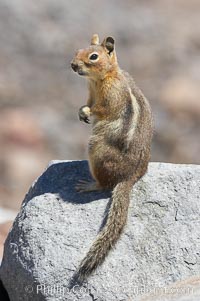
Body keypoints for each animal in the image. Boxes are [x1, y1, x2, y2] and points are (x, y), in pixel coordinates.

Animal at [70, 33, 153, 282]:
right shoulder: (89, 93)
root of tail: (130, 177)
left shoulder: (110, 98)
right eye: (77, 51)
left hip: (96, 149)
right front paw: (81, 111)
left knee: (105, 184)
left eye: (93, 56)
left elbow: (101, 110)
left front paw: (88, 113)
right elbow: (86, 103)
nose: (73, 65)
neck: (101, 78)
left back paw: (89, 185)